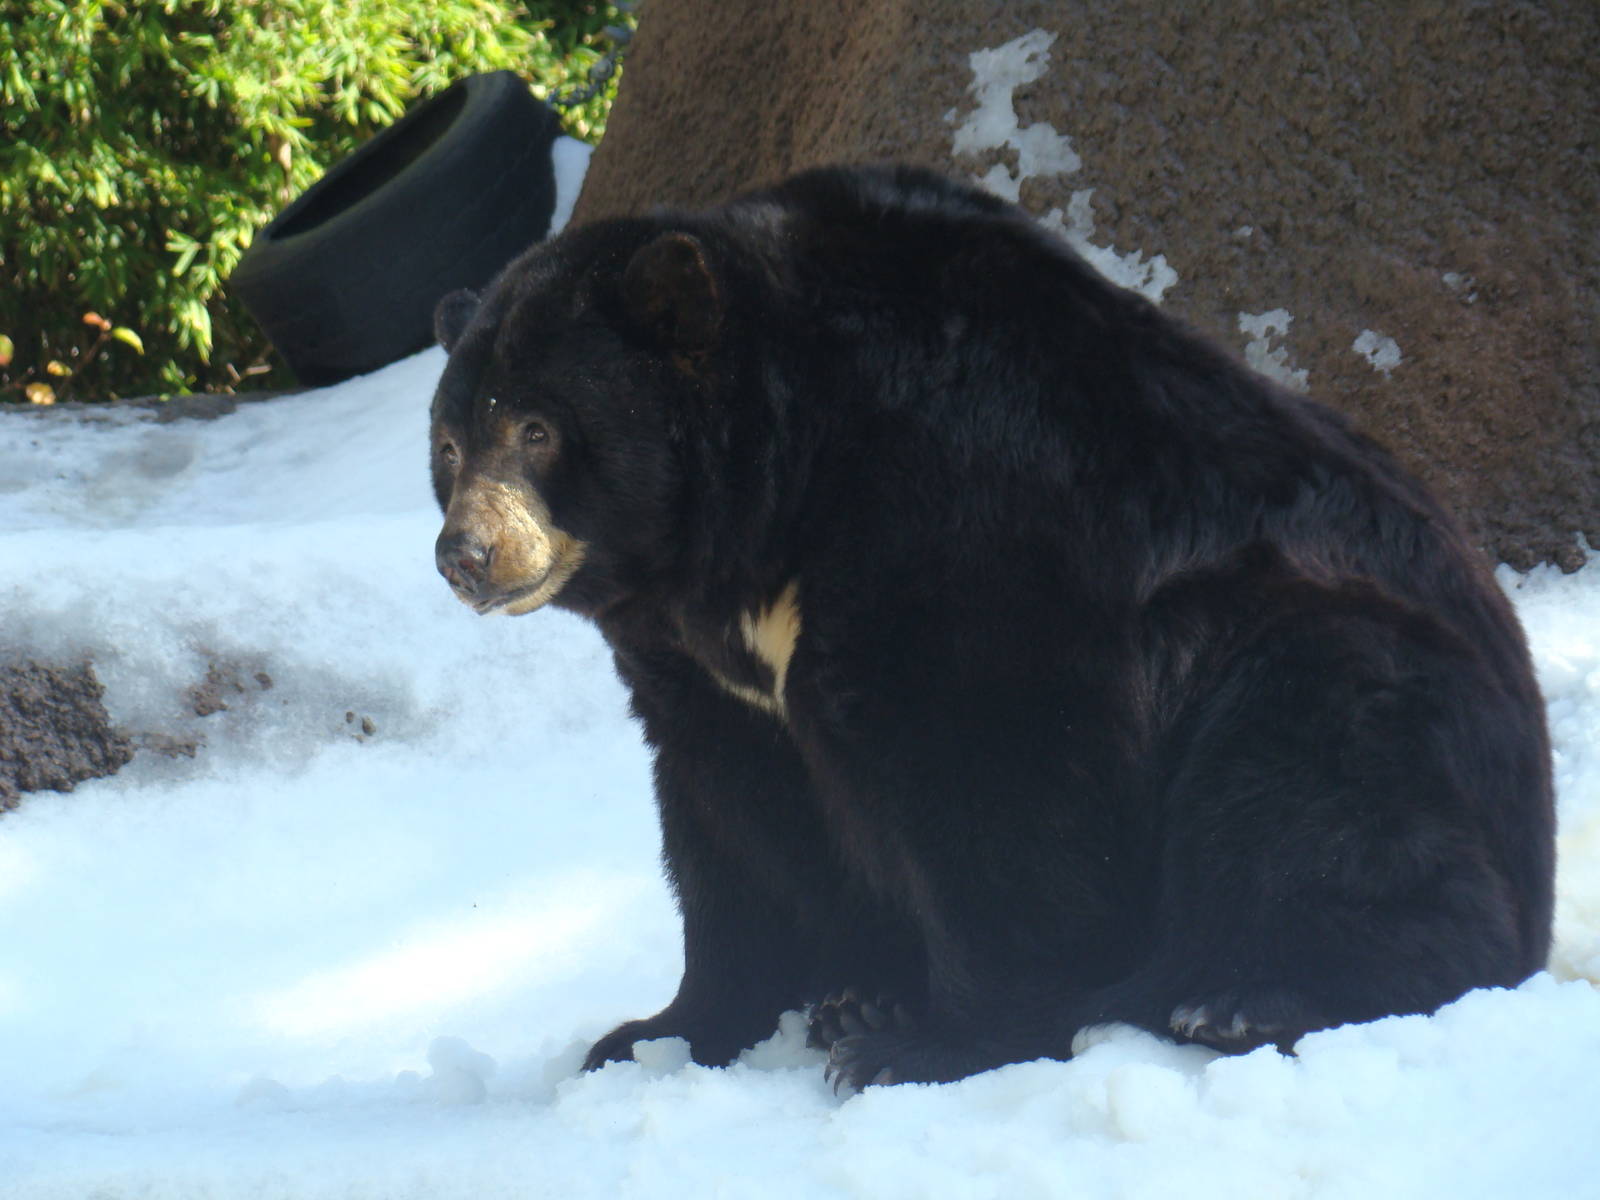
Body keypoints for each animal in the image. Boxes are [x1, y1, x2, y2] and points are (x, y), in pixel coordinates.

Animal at [428, 164, 1554, 1091]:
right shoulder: (700, 660)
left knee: (1316, 779)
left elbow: (997, 761)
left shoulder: (968, 505)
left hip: (1332, 655)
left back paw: (1248, 995)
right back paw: (864, 995)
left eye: (538, 426)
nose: (466, 553)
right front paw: (659, 1034)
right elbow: (728, 815)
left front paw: (930, 1044)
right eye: (447, 442)